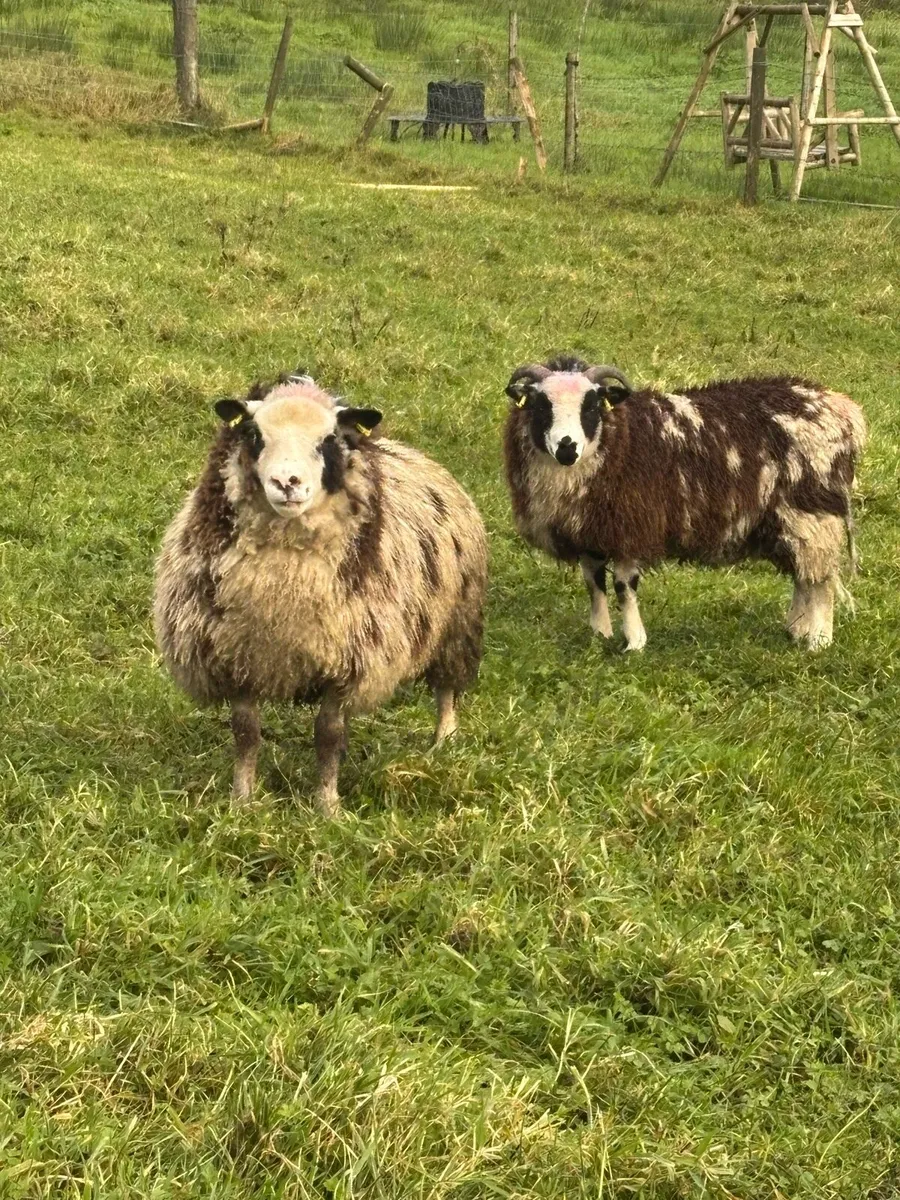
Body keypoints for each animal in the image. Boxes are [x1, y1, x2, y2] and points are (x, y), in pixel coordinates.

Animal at [153, 372, 488, 817]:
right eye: (254, 434)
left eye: (328, 439)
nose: (287, 483)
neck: (284, 579)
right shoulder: (236, 653)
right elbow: (246, 733)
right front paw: (242, 800)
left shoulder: (349, 660)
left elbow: (327, 735)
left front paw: (327, 807)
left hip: (457, 621)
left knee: (447, 687)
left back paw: (444, 738)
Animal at [503, 356, 866, 651]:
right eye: (540, 406)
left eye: (591, 406)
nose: (567, 448)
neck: (619, 439)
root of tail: (842, 409)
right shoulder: (592, 529)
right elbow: (594, 584)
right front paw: (600, 634)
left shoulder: (633, 525)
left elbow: (623, 586)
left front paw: (634, 642)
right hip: (790, 521)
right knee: (805, 576)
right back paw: (796, 630)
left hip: (813, 515)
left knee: (820, 581)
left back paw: (818, 640)